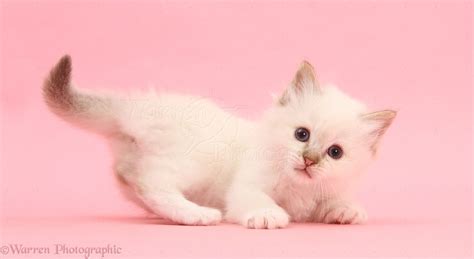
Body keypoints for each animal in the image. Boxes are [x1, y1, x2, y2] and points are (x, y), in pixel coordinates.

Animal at [44, 56, 394, 230]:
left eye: (335, 153)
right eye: (302, 134)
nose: (309, 160)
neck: (298, 189)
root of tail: (139, 106)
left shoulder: (323, 193)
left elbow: (333, 203)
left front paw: (347, 211)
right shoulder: (246, 187)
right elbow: (258, 200)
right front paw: (268, 216)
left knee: (130, 177)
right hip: (192, 161)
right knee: (152, 183)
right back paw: (198, 215)